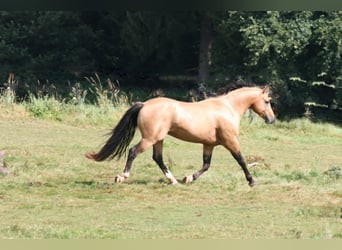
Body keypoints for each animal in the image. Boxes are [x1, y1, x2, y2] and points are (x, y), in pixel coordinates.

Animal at [85, 83, 276, 187]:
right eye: (267, 101)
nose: (272, 119)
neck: (228, 108)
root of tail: (144, 104)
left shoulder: (209, 144)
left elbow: (206, 165)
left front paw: (188, 178)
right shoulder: (230, 141)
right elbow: (241, 160)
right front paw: (252, 181)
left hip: (159, 139)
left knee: (158, 158)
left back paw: (173, 180)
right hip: (149, 139)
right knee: (133, 151)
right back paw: (122, 177)